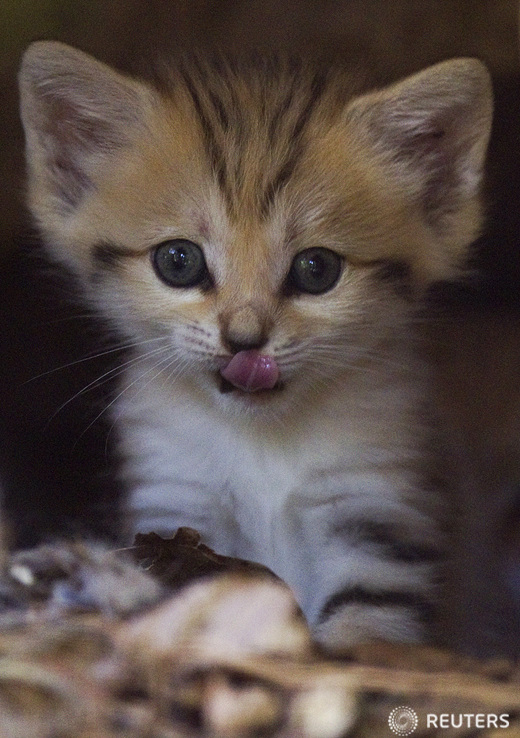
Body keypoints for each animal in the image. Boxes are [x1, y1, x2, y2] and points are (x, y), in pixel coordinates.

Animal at [19, 43, 492, 648]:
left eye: (317, 269)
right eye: (178, 261)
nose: (245, 340)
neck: (262, 442)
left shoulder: (376, 510)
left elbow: (368, 626)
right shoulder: (176, 503)